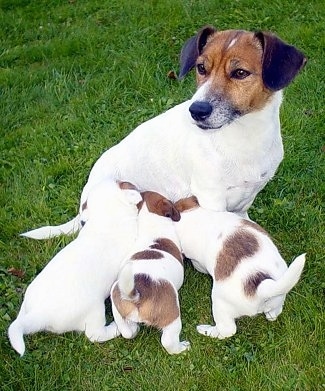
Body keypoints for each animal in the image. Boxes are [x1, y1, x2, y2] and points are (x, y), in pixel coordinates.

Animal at [21, 26, 306, 239]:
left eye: (240, 73)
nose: (197, 110)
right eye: (201, 68)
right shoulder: (211, 198)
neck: (243, 136)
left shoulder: (247, 195)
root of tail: (82, 206)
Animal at [110, 192, 190, 356]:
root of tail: (136, 295)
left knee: (127, 332)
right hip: (172, 315)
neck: (151, 222)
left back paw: (134, 328)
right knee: (168, 341)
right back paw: (182, 348)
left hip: (116, 305)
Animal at [175, 198, 304, 342]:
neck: (197, 217)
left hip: (220, 304)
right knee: (275, 312)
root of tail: (261, 288)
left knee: (228, 330)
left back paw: (206, 330)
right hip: (278, 297)